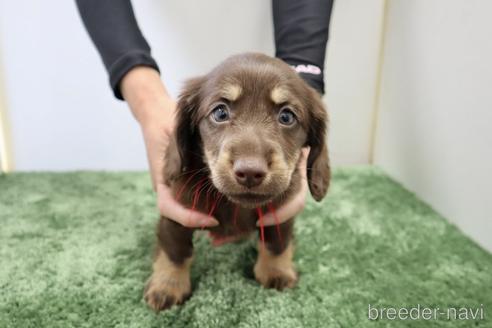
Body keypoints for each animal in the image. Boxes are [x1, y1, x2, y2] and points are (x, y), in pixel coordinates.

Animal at [146, 52, 330, 312]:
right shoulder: (177, 212)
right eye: (220, 113)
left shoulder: (282, 211)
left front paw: (276, 270)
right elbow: (175, 250)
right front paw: (168, 285)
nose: (250, 172)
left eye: (286, 116)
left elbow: (277, 242)